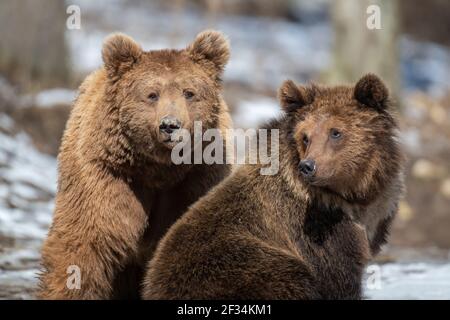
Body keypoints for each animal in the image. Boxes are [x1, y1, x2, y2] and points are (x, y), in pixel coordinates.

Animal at [37, 30, 232, 300]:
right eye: (152, 94)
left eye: (189, 92)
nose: (170, 125)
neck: (159, 168)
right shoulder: (107, 173)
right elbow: (87, 239)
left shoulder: (198, 177)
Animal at [141, 74, 404, 298]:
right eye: (306, 136)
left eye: (335, 132)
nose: (308, 166)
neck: (352, 196)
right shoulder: (315, 233)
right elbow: (338, 279)